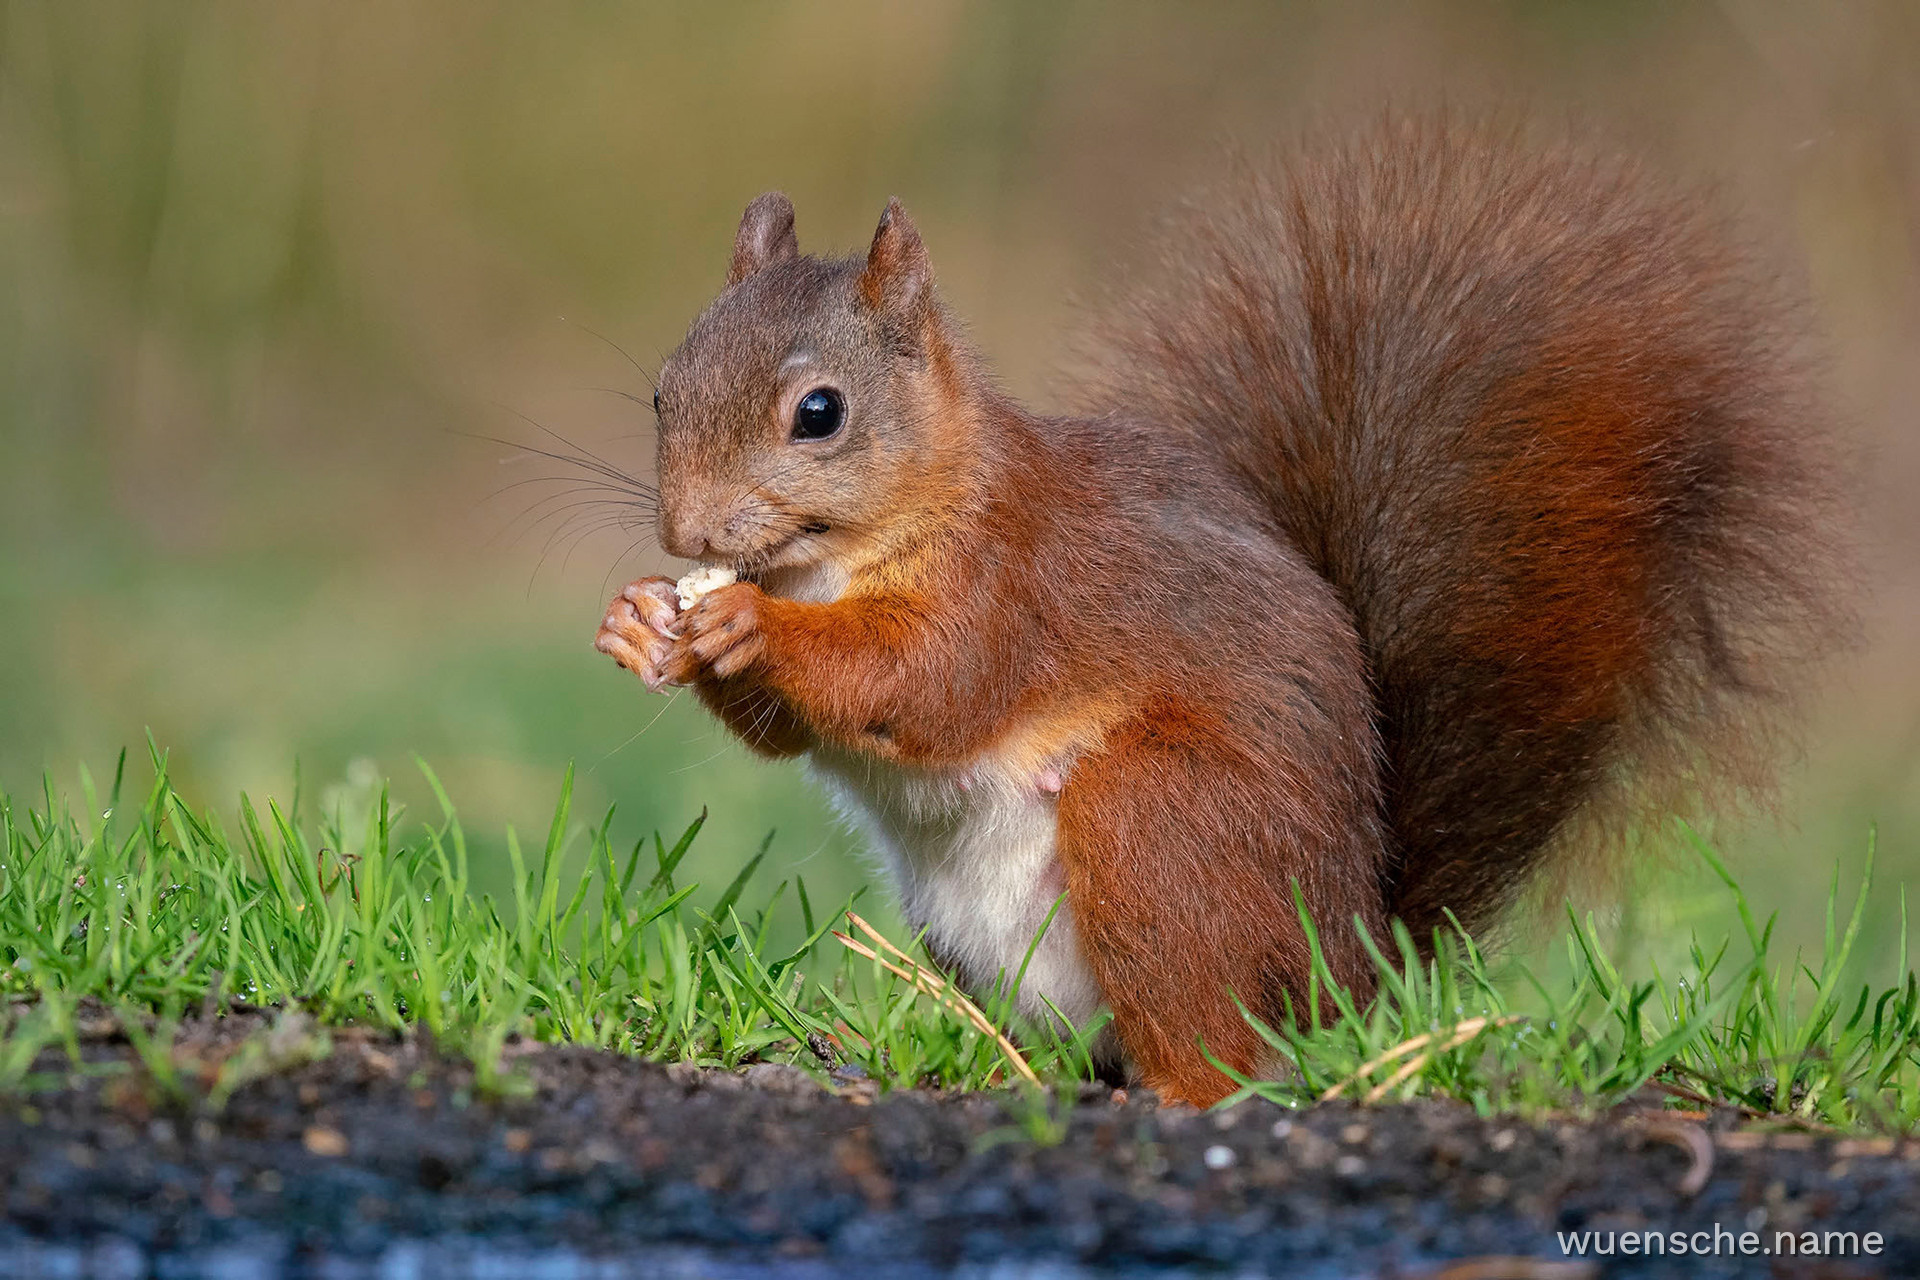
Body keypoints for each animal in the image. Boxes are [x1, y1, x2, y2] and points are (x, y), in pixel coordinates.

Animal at [592, 115, 1845, 1106]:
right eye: (660, 389)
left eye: (820, 412)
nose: (688, 536)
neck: (845, 557)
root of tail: (1346, 970)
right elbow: (789, 730)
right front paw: (640, 620)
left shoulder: (1015, 585)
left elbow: (923, 682)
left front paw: (751, 630)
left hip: (1162, 827)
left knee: (1215, 1043)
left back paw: (1177, 1091)